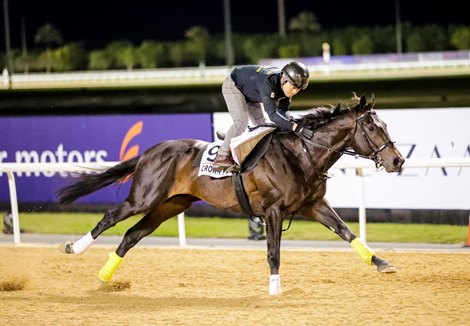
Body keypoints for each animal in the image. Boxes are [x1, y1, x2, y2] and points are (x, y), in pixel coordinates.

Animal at [57, 94, 404, 296]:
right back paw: (75, 248)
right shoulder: (273, 210)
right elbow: (274, 252)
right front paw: (275, 289)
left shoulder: (314, 205)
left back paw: (104, 277)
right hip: (144, 197)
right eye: (372, 128)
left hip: (171, 205)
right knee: (111, 217)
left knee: (132, 234)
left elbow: (346, 231)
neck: (302, 153)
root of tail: (149, 151)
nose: (397, 160)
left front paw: (381, 262)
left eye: (386, 125)